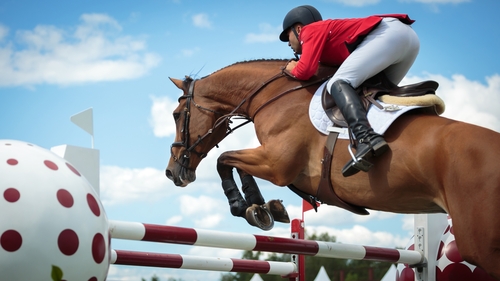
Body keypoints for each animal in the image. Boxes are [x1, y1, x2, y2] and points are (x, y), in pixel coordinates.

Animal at [166, 58, 500, 278]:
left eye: (176, 114)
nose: (172, 172)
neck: (271, 96)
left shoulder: (276, 164)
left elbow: (225, 160)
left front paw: (248, 207)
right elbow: (231, 162)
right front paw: (266, 208)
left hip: (479, 243)